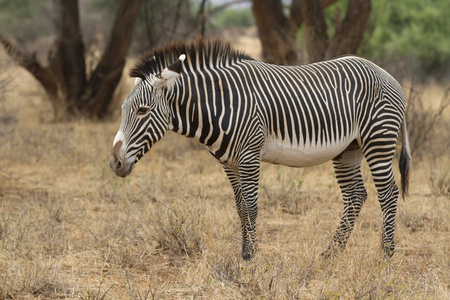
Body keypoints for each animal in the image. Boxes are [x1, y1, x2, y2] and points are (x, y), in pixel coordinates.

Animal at [110, 39, 412, 260]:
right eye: (123, 109)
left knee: (388, 193)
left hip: (378, 140)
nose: (114, 163)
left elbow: (252, 206)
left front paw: (252, 255)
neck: (221, 104)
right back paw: (332, 252)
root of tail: (389, 76)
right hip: (348, 149)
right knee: (355, 196)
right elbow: (240, 207)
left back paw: (385, 254)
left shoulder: (249, 155)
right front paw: (244, 251)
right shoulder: (229, 162)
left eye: (142, 110)